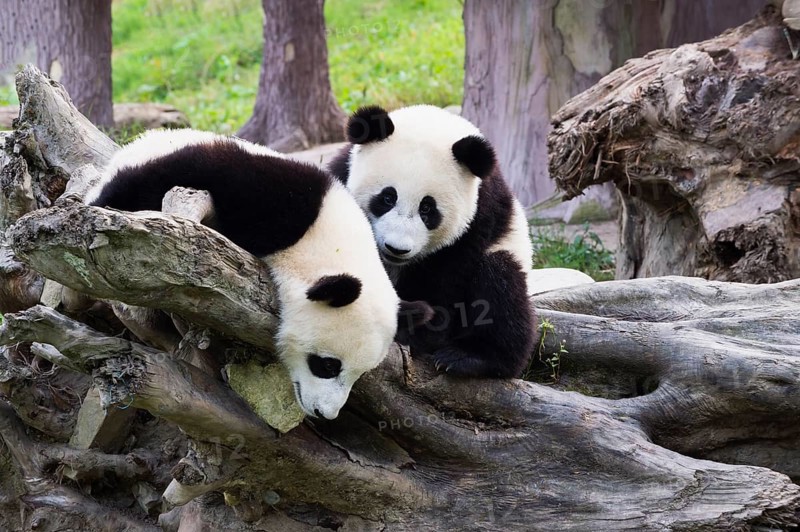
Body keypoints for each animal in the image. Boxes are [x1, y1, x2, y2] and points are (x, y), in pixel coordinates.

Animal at [328, 104, 539, 379]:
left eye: (427, 208)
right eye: (387, 198)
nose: (396, 248)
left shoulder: (478, 219)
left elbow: (446, 281)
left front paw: (416, 330)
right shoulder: (341, 175)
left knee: (501, 285)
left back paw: (470, 357)